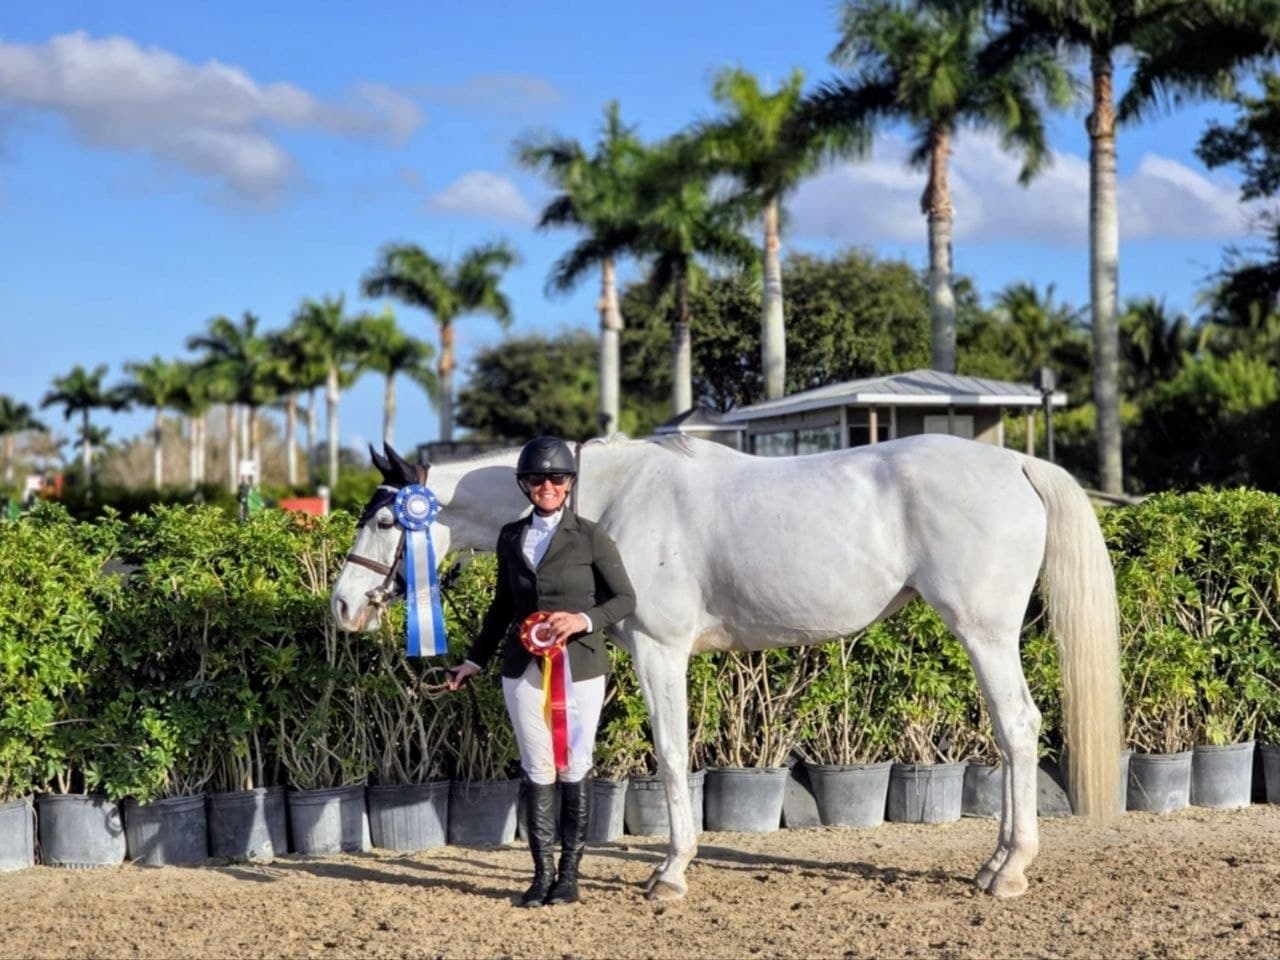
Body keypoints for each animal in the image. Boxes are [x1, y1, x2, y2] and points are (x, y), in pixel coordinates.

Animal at [331, 433, 1122, 901]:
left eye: (384, 518)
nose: (342, 606)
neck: (610, 497)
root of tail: (1016, 463)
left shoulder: (660, 649)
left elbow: (672, 755)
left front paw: (670, 873)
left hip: (984, 631)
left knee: (1018, 727)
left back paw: (1010, 870)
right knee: (1009, 734)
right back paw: (994, 863)